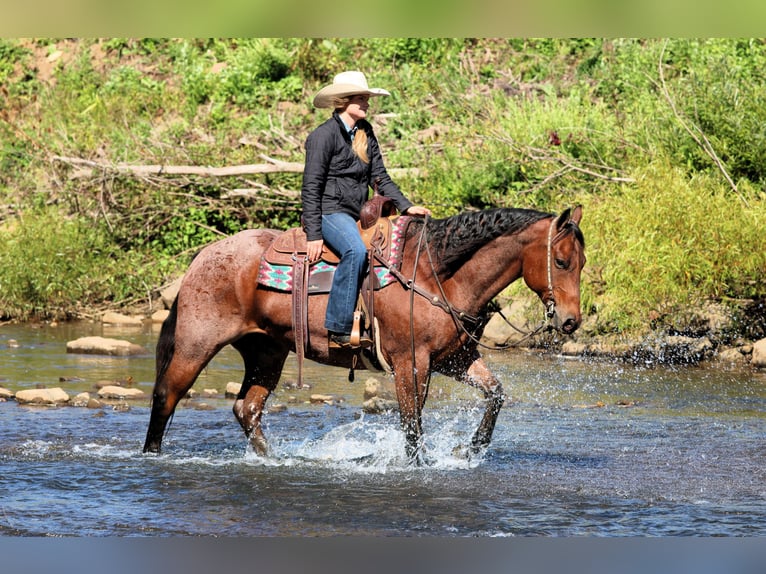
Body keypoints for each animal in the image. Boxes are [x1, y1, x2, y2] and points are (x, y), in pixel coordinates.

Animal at [143, 206, 585, 462]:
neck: (436, 273)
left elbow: (495, 394)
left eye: (581, 262)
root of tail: (203, 256)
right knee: (167, 395)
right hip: (197, 344)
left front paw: (468, 449)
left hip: (266, 351)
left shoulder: (452, 359)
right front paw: (416, 466)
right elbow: (412, 425)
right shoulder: (410, 363)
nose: (570, 321)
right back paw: (152, 456)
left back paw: (275, 461)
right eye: (561, 261)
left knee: (247, 409)